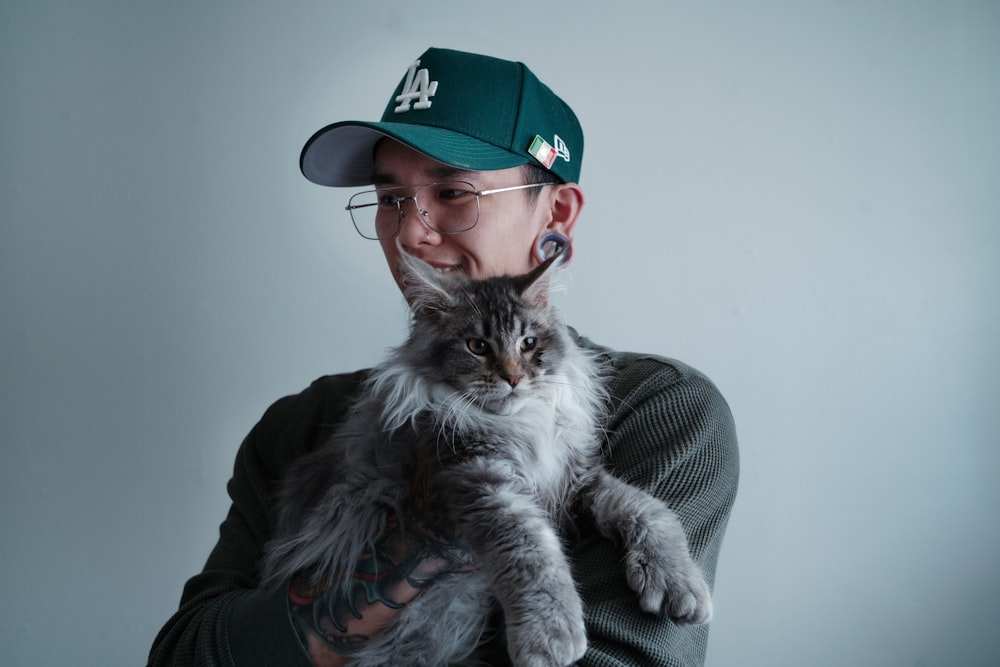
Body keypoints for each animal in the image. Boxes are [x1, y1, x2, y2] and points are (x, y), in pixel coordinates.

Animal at [262, 253, 708, 664]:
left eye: (529, 344)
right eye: (477, 346)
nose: (513, 377)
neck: (521, 425)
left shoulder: (576, 479)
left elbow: (648, 509)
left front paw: (679, 583)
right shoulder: (481, 480)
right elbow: (535, 555)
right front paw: (550, 636)